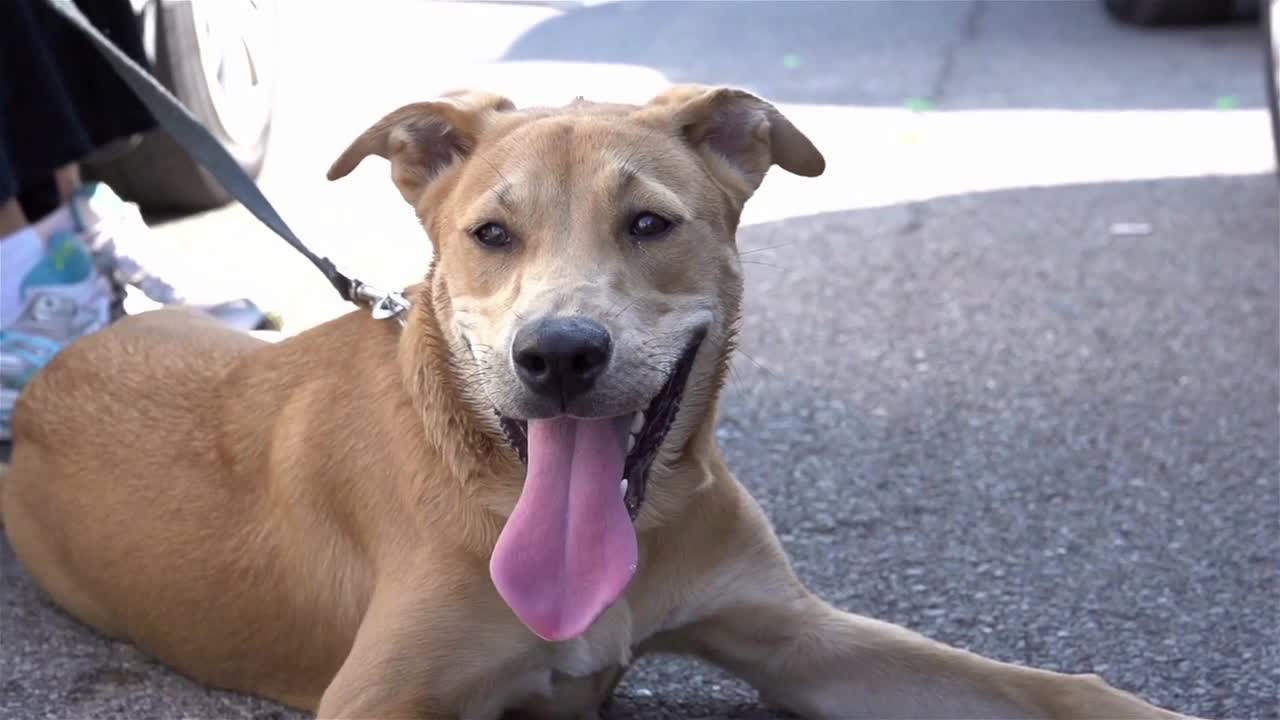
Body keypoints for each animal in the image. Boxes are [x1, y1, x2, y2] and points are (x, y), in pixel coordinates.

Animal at [5, 87, 1192, 712]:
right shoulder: (379, 695)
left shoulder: (798, 638)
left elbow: (1060, 689)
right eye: (490, 234)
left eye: (649, 224)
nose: (561, 356)